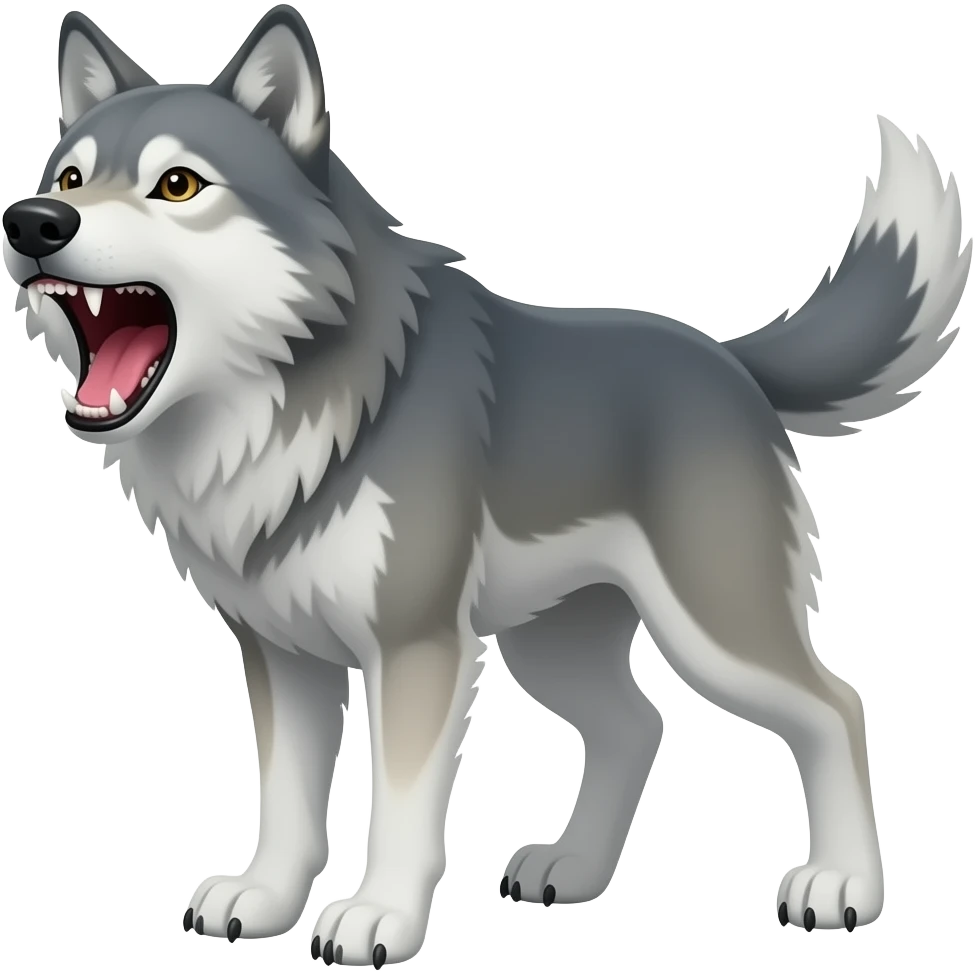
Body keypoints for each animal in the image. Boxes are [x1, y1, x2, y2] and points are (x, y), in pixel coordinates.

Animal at [2, 5, 968, 962]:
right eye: (71, 175)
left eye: (176, 184)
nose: (33, 221)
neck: (296, 405)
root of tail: (727, 359)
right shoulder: (282, 651)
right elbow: (286, 800)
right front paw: (266, 899)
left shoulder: (414, 644)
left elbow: (398, 802)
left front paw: (378, 916)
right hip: (551, 645)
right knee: (636, 724)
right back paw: (574, 869)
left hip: (712, 631)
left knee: (836, 707)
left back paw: (841, 884)